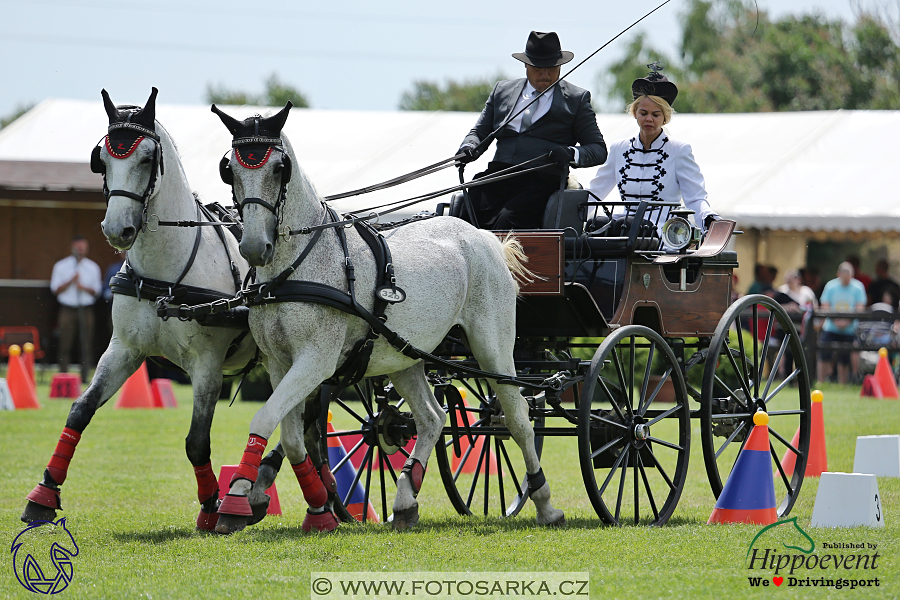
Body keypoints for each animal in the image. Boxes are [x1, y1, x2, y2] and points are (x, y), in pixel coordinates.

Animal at [21, 88, 264, 528]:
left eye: (147, 158)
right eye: (102, 158)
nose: (117, 229)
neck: (164, 274)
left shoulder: (207, 364)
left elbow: (196, 441)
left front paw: (210, 505)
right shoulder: (124, 349)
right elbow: (79, 411)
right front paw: (44, 493)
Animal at [210, 103, 564, 536]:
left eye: (280, 168)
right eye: (230, 169)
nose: (254, 247)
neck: (293, 268)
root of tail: (483, 236)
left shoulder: (316, 360)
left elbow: (266, 418)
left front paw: (236, 500)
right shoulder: (280, 364)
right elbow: (291, 436)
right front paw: (316, 506)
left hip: (493, 347)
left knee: (517, 417)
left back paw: (545, 503)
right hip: (403, 355)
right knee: (432, 418)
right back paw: (406, 499)